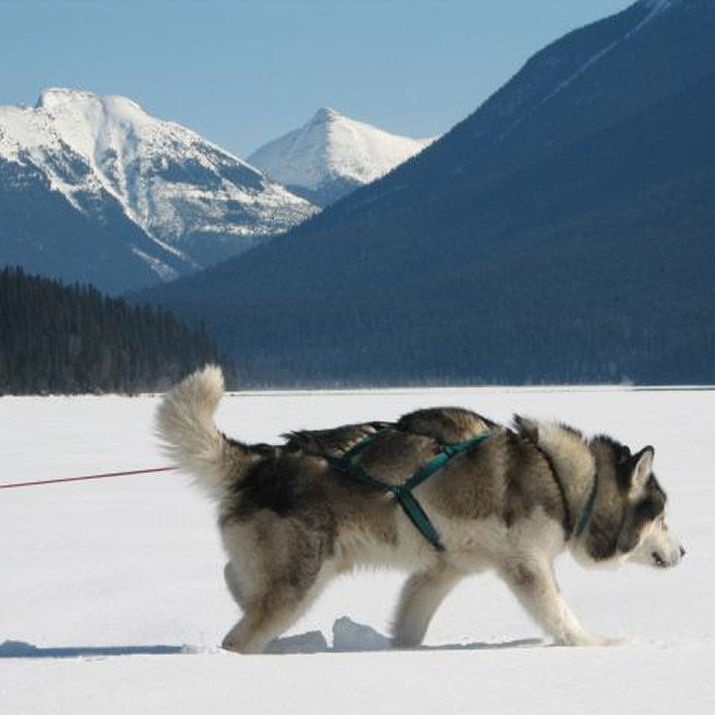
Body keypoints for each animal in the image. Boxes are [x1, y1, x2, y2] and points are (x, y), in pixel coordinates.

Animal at [154, 366, 684, 652]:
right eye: (661, 516)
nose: (684, 552)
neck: (564, 477)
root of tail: (263, 459)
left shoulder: (440, 570)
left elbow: (411, 620)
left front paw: (400, 652)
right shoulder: (527, 565)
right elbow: (560, 615)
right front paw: (596, 646)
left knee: (235, 579)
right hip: (299, 582)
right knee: (239, 637)